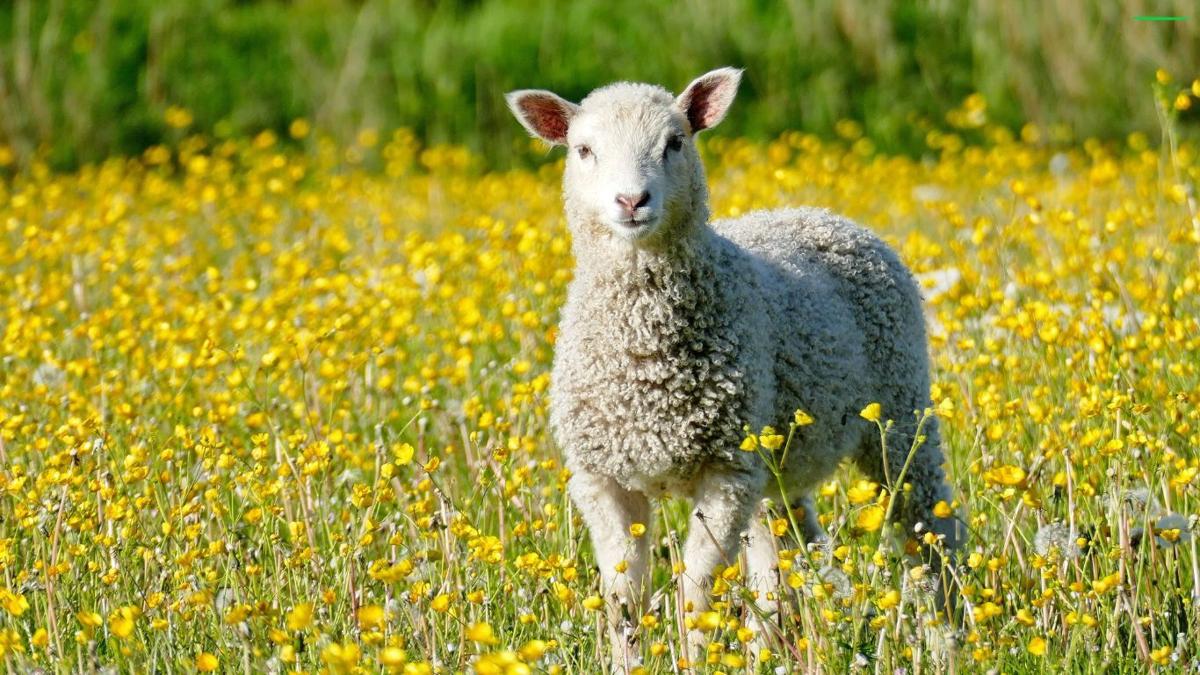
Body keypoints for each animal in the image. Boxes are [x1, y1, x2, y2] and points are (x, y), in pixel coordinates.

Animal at [506, 68, 962, 671]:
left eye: (675, 142)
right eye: (583, 150)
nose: (631, 200)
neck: (646, 357)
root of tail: (822, 214)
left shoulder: (725, 472)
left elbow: (697, 591)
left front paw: (694, 657)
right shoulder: (602, 477)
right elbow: (624, 595)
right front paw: (630, 661)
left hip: (900, 411)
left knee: (927, 528)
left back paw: (951, 638)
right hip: (778, 461)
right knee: (788, 552)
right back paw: (790, 648)